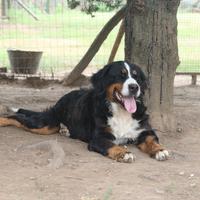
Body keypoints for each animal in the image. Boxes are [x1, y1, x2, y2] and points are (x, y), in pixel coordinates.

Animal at [0, 60, 169, 162]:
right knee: (16, 117)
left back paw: (65, 130)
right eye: (120, 75)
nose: (134, 87)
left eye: (136, 76)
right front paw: (123, 153)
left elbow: (152, 140)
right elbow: (112, 145)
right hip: (45, 125)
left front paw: (160, 150)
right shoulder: (99, 138)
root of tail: (60, 101)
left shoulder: (145, 131)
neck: (121, 112)